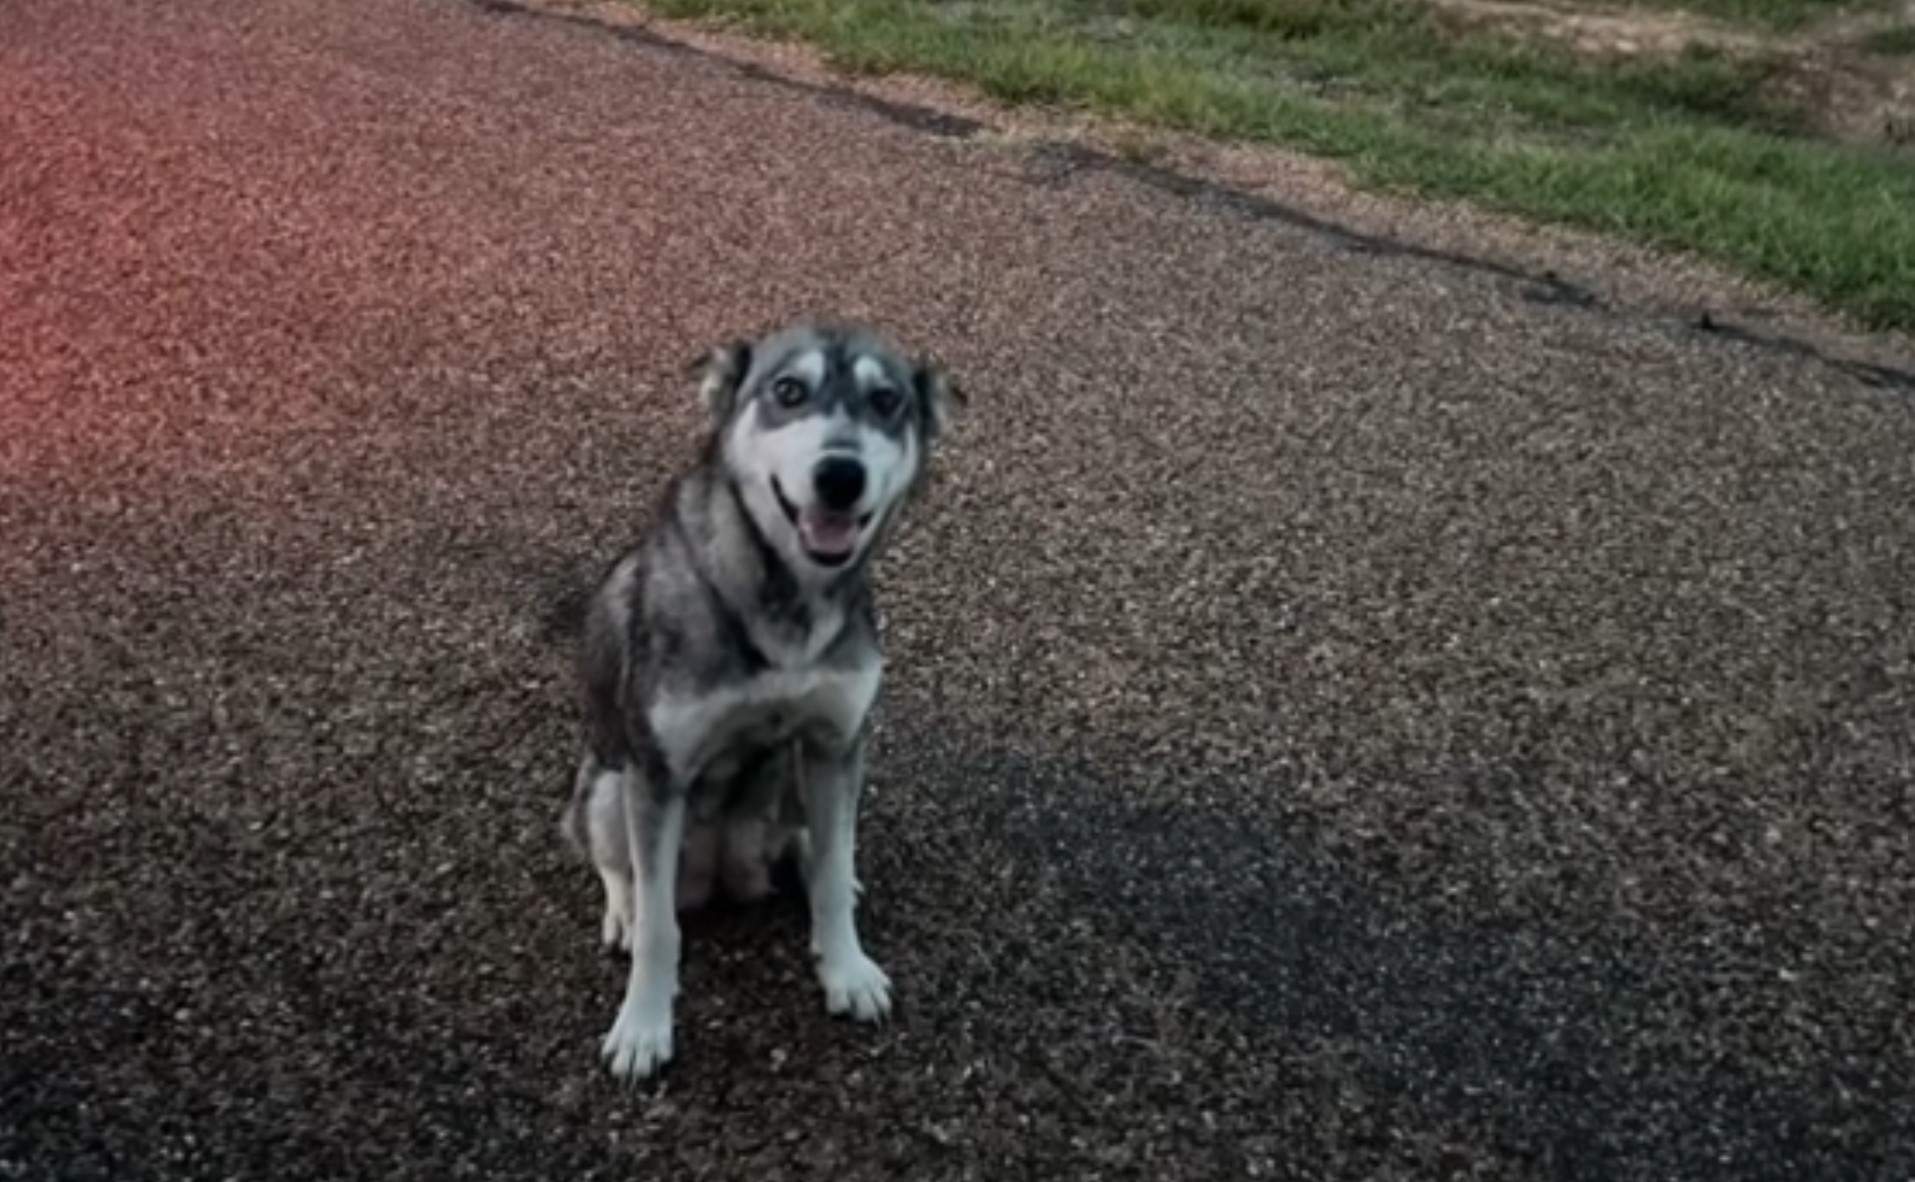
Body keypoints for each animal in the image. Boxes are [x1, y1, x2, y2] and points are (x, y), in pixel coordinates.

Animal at [559, 319, 965, 1080]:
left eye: (886, 401)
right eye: (788, 390)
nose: (840, 474)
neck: (784, 600)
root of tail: (727, 874)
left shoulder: (835, 743)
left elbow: (831, 878)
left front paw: (846, 968)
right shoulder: (658, 773)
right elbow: (660, 927)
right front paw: (643, 1025)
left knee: (819, 846)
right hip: (607, 783)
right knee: (618, 866)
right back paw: (622, 911)